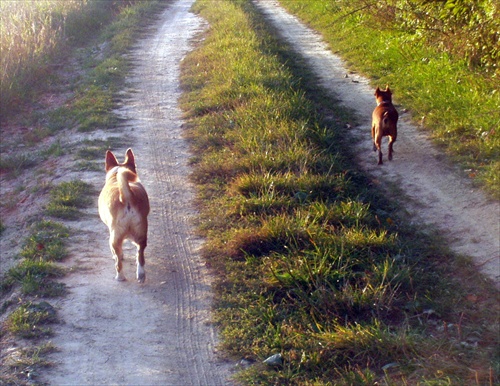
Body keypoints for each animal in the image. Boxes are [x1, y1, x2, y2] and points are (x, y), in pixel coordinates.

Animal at [98, 149, 149, 282]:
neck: (116, 175)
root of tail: (127, 196)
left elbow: (118, 255)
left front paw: (119, 256)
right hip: (141, 234)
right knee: (140, 256)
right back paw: (141, 275)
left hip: (114, 238)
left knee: (118, 263)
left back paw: (120, 277)